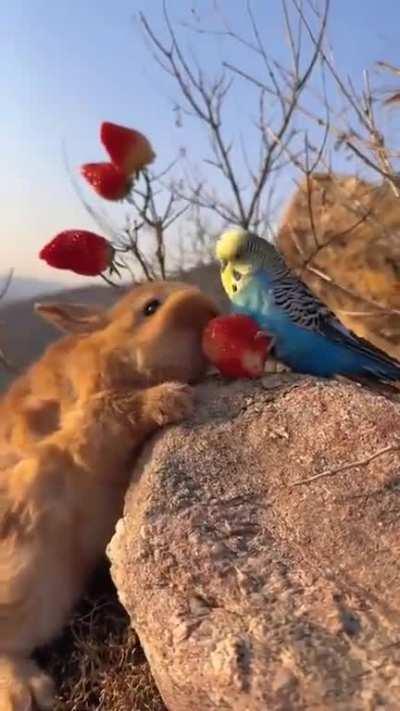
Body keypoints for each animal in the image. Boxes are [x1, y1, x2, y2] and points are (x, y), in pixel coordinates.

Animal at [0, 280, 218, 710]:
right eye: (150, 308)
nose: (214, 315)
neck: (114, 348)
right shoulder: (92, 423)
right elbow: (120, 412)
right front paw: (173, 398)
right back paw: (28, 692)